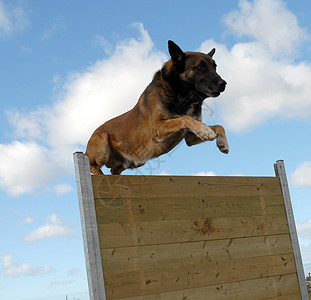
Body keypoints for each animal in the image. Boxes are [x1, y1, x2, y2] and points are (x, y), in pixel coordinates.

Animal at [85, 41, 229, 175]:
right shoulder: (156, 127)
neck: (182, 95)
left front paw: (222, 141)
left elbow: (218, 126)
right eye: (200, 67)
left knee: (114, 171)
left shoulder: (190, 137)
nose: (223, 84)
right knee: (93, 166)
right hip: (102, 139)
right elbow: (184, 119)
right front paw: (206, 130)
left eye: (215, 67)